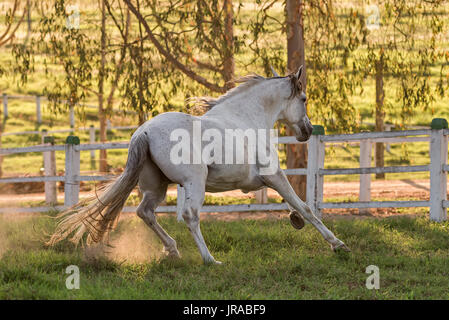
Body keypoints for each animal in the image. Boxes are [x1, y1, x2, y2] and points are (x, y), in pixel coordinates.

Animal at [50, 66, 350, 264]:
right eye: (304, 99)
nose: (307, 131)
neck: (247, 118)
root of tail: (144, 132)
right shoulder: (273, 175)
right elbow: (306, 207)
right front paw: (337, 244)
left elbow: (294, 205)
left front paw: (296, 220)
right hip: (195, 182)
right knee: (189, 215)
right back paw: (209, 259)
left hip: (157, 187)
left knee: (145, 213)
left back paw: (173, 250)